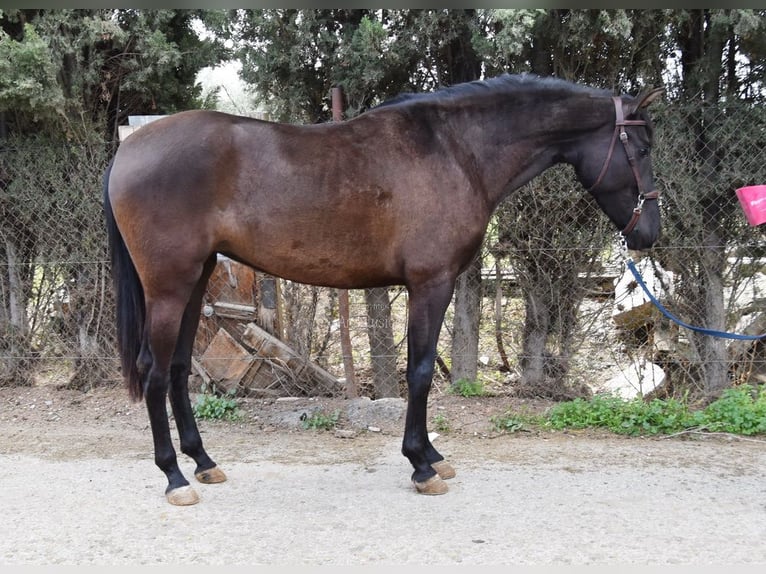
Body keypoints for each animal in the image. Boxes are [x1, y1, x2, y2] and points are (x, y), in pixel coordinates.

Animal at [103, 73, 664, 505]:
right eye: (640, 148)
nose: (649, 234)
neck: (456, 151)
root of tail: (129, 148)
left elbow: (419, 369)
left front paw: (432, 456)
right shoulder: (431, 284)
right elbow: (419, 372)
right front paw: (422, 465)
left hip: (195, 280)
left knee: (178, 370)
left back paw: (203, 461)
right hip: (169, 287)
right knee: (154, 372)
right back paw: (175, 477)